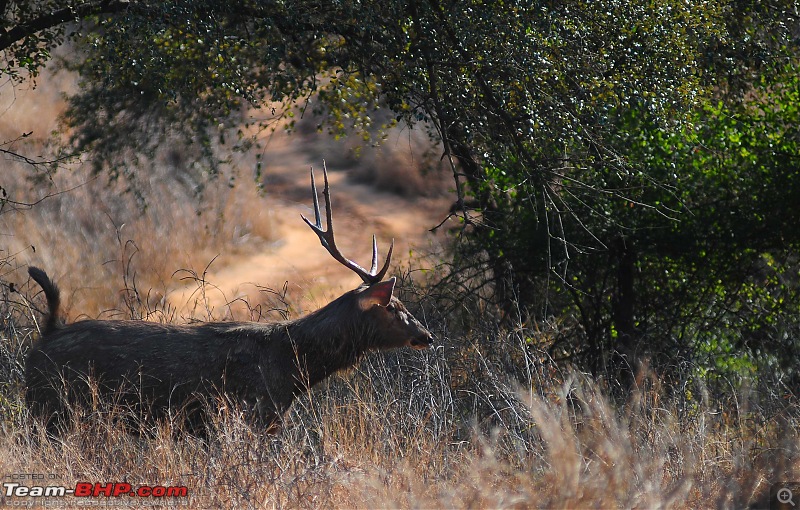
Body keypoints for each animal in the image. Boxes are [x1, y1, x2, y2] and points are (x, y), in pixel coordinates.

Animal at [25, 165, 434, 432]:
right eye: (394, 307)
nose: (426, 335)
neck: (290, 367)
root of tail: (48, 334)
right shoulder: (251, 413)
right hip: (53, 407)